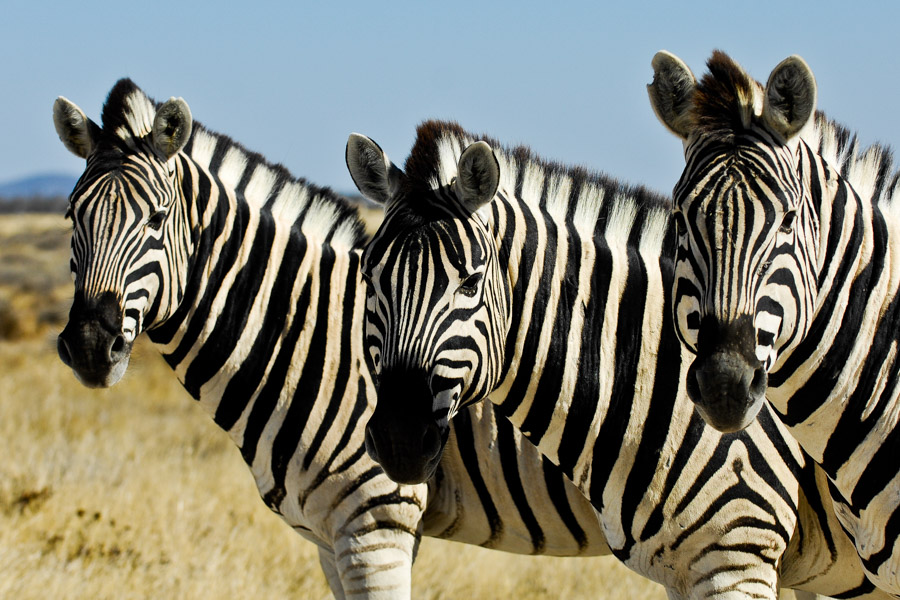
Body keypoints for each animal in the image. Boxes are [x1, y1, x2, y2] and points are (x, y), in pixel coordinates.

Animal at [51, 79, 624, 600]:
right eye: (71, 216)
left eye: (156, 218)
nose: (89, 346)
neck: (307, 337)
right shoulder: (328, 539)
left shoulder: (377, 527)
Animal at [346, 119, 892, 596]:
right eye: (368, 278)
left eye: (470, 283)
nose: (398, 441)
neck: (656, 375)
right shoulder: (684, 570)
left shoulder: (739, 554)